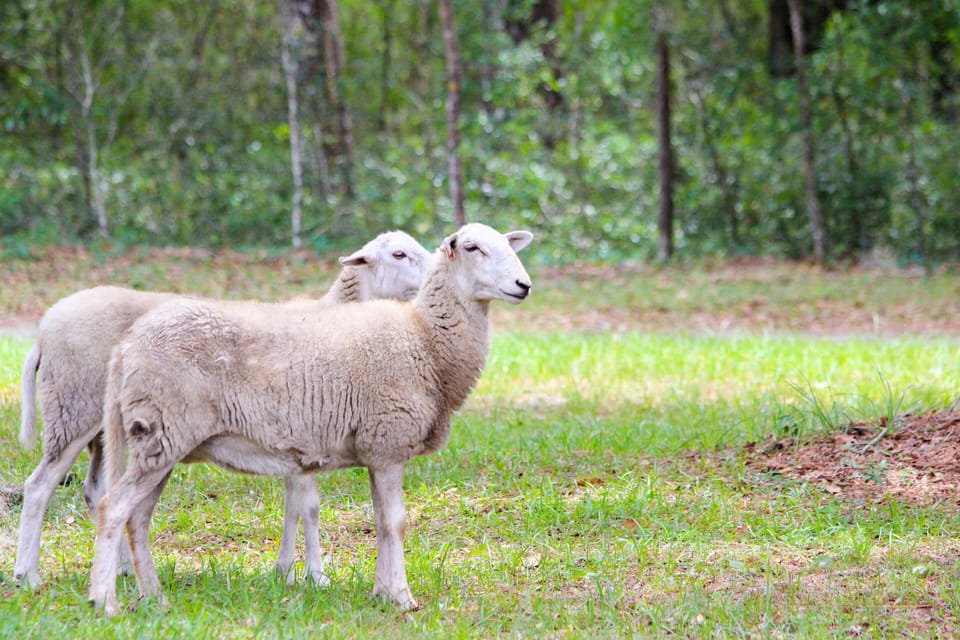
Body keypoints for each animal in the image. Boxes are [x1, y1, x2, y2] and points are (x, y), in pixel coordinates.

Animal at [13, 230, 431, 590]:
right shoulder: (304, 433)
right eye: (399, 254)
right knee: (40, 486)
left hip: (104, 427)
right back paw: (27, 575)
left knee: (97, 488)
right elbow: (309, 507)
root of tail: (43, 332)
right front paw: (316, 575)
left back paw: (119, 567)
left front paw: (285, 571)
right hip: (73, 406)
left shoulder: (297, 441)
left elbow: (294, 505)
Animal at [88, 223, 533, 615]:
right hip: (161, 430)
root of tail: (126, 347)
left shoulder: (374, 451)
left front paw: (380, 592)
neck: (423, 339)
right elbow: (396, 522)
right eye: (473, 247)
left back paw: (154, 598)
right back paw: (105, 602)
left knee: (138, 518)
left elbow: (379, 521)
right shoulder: (389, 442)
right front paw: (402, 598)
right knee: (113, 507)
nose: (523, 285)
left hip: (162, 441)